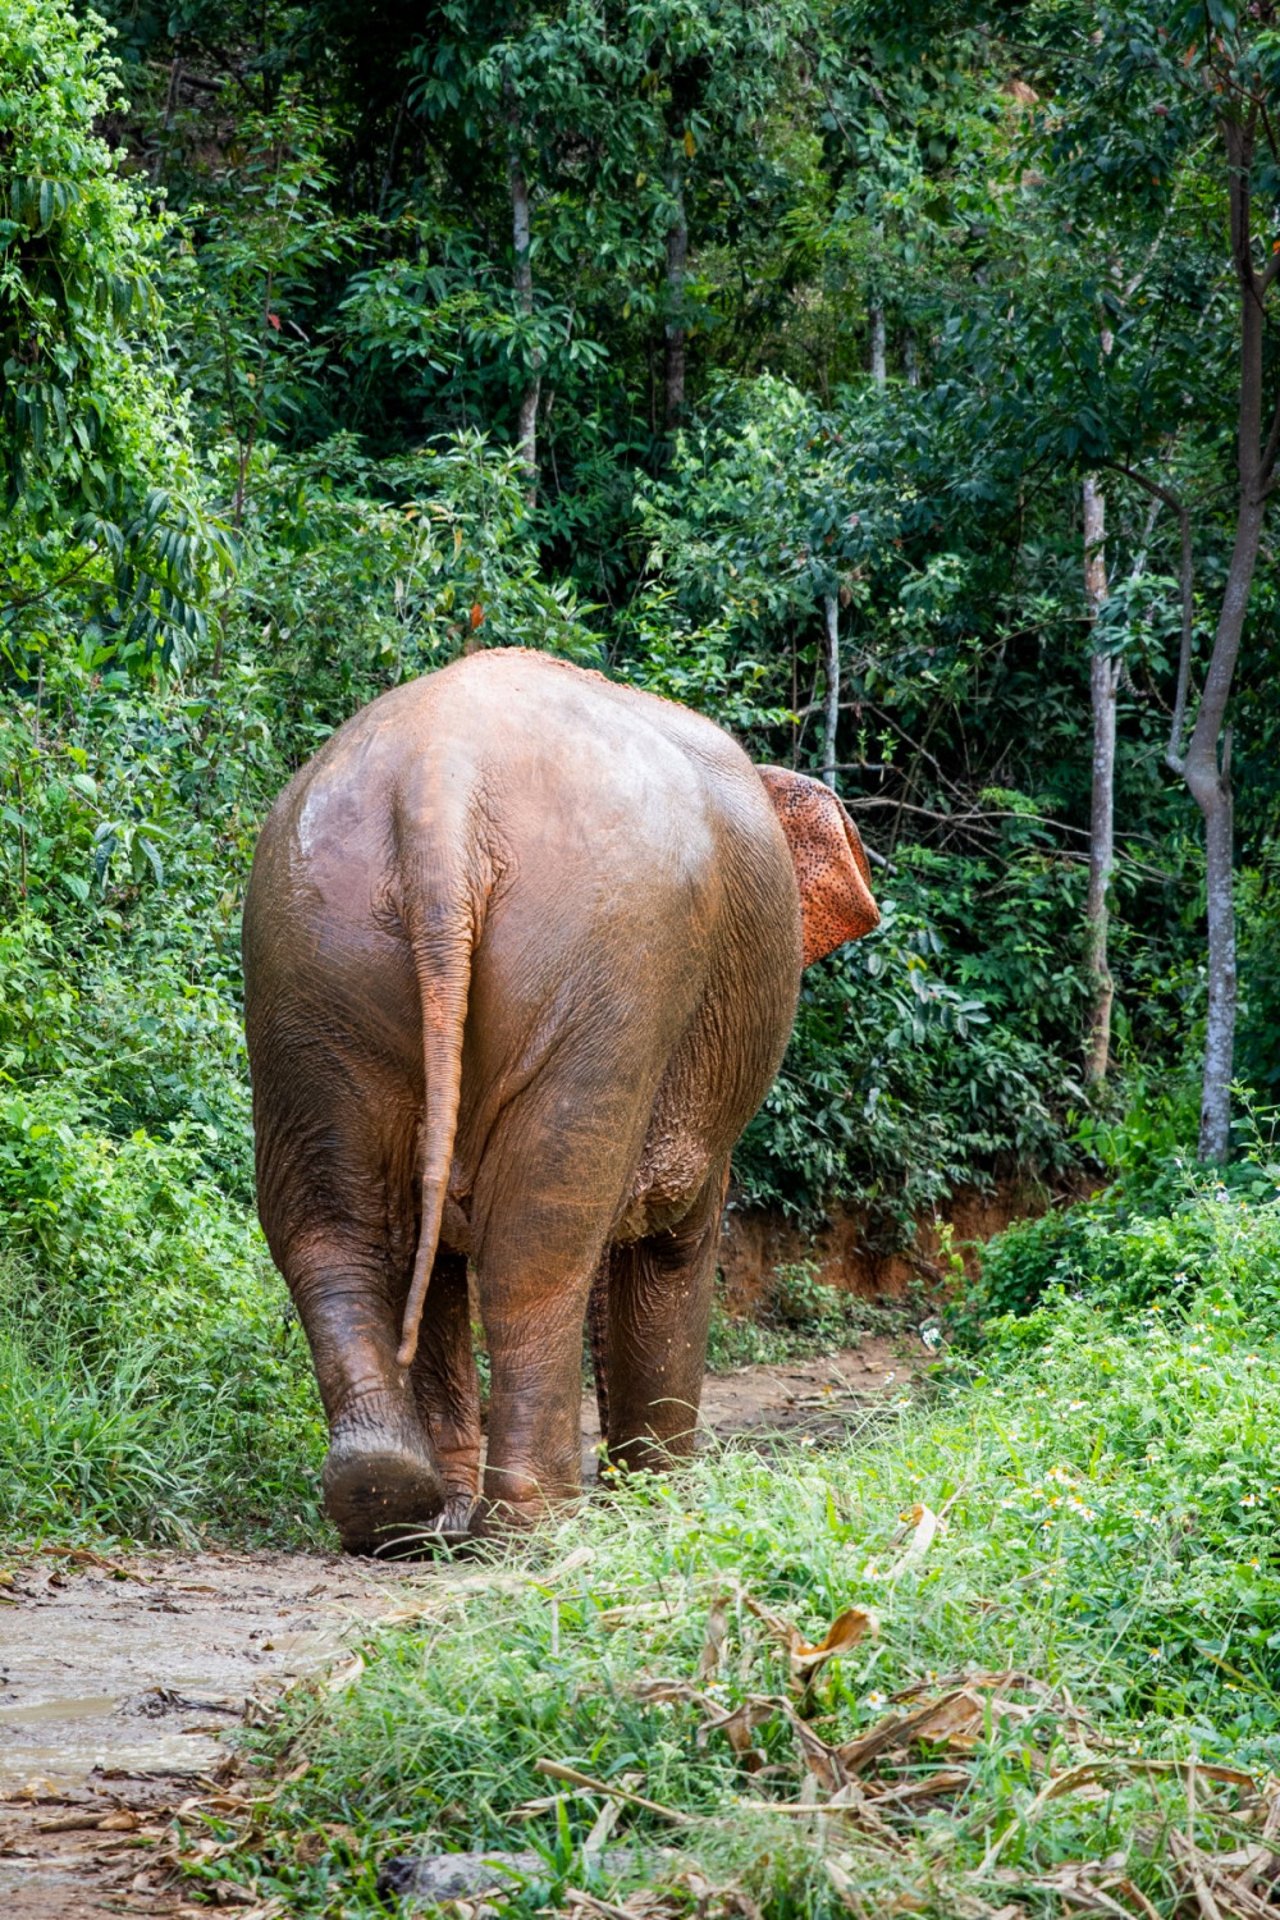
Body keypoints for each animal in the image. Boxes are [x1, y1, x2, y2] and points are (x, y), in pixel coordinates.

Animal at [242, 645, 882, 1543]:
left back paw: (393, 1508)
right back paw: (536, 1523)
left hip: (310, 951)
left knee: (337, 1226)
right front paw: (661, 1501)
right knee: (539, 1240)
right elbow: (674, 1237)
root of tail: (437, 776)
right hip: (602, 961)